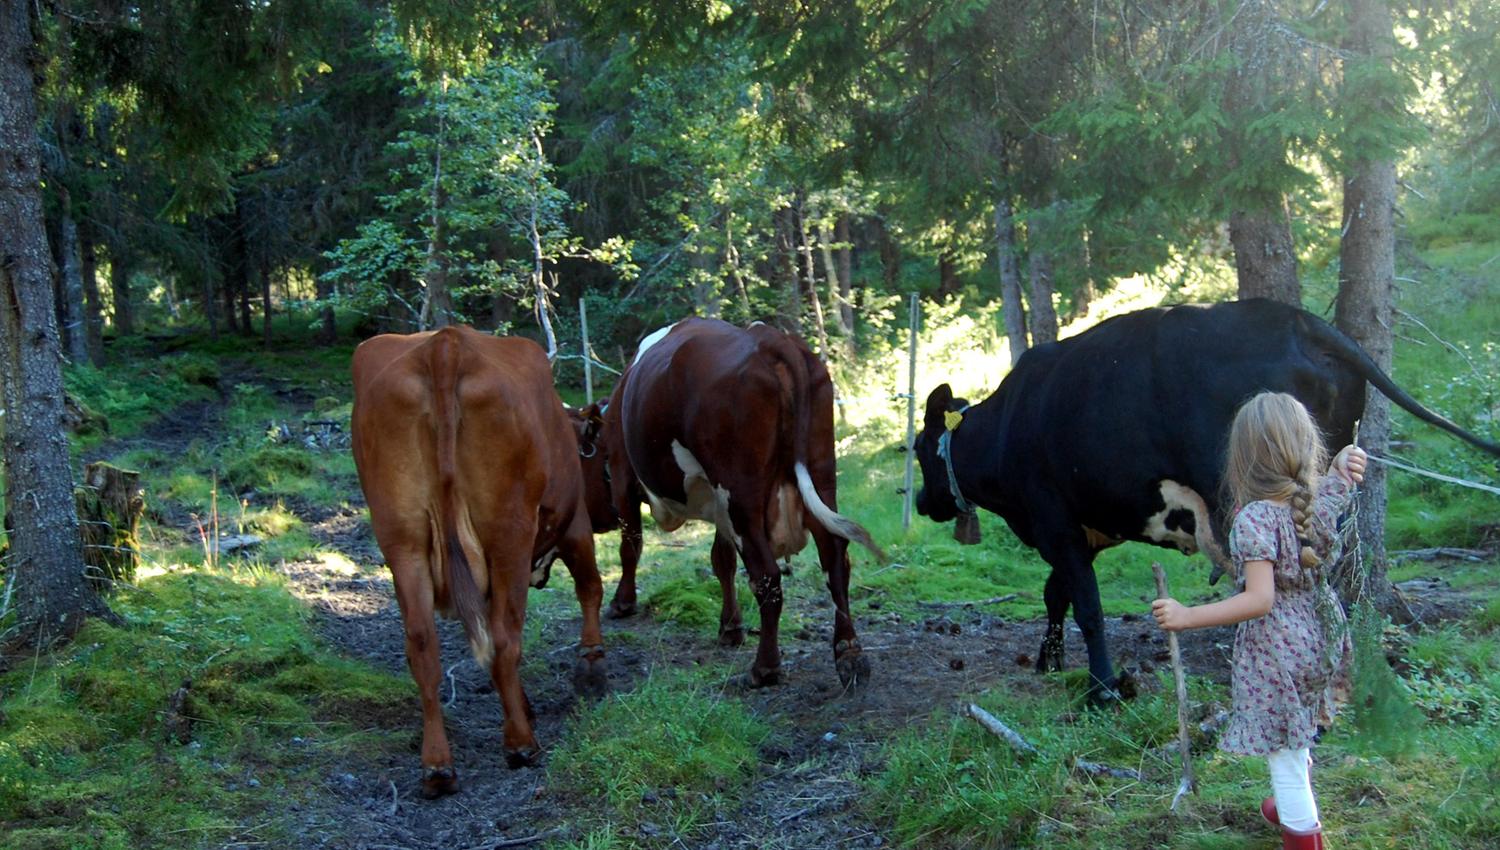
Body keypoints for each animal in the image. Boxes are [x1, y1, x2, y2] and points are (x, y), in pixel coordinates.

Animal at [352, 325, 607, 798]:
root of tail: (445, 344)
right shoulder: (576, 527)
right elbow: (590, 589)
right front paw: (591, 667)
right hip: (509, 533)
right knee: (506, 637)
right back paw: (520, 744)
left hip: (402, 538)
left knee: (422, 645)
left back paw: (438, 766)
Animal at [573, 318, 885, 688]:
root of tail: (768, 338)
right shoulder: (717, 503)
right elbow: (722, 560)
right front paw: (731, 626)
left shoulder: (623, 479)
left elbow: (630, 546)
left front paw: (623, 603)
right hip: (819, 474)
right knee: (835, 560)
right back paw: (849, 653)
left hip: (740, 493)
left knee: (767, 576)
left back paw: (765, 667)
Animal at [912, 299, 1500, 704]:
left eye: (917, 449)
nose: (919, 502)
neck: (1008, 424)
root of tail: (1300, 320)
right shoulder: (1085, 527)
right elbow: (1057, 593)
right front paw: (1050, 660)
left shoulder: (1053, 519)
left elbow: (1088, 606)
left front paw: (1102, 688)